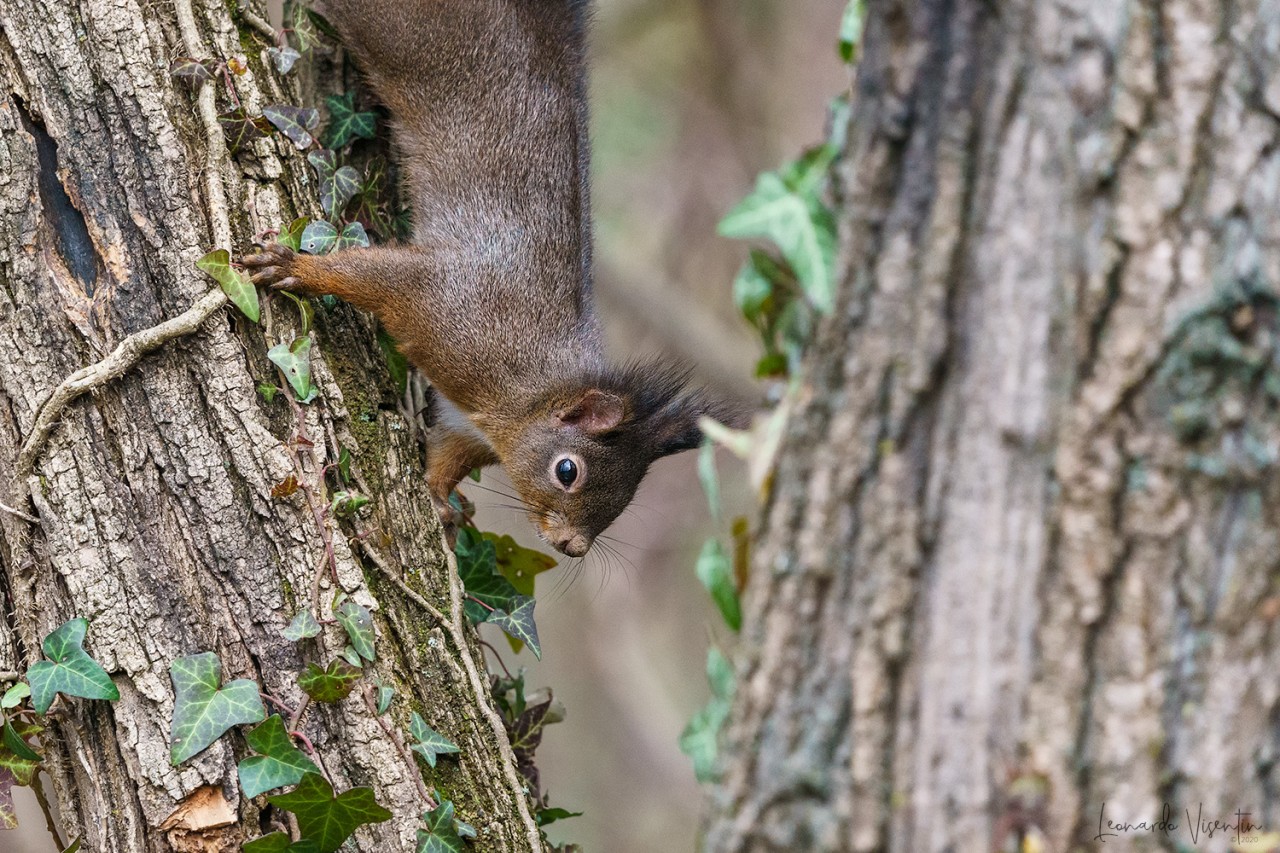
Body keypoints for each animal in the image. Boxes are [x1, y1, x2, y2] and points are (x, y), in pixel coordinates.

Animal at [243, 0, 742, 557]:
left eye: (630, 493)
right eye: (567, 471)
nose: (573, 547)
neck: (523, 392)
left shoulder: (467, 430)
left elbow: (444, 460)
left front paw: (440, 502)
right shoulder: (446, 302)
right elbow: (369, 276)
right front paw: (293, 267)